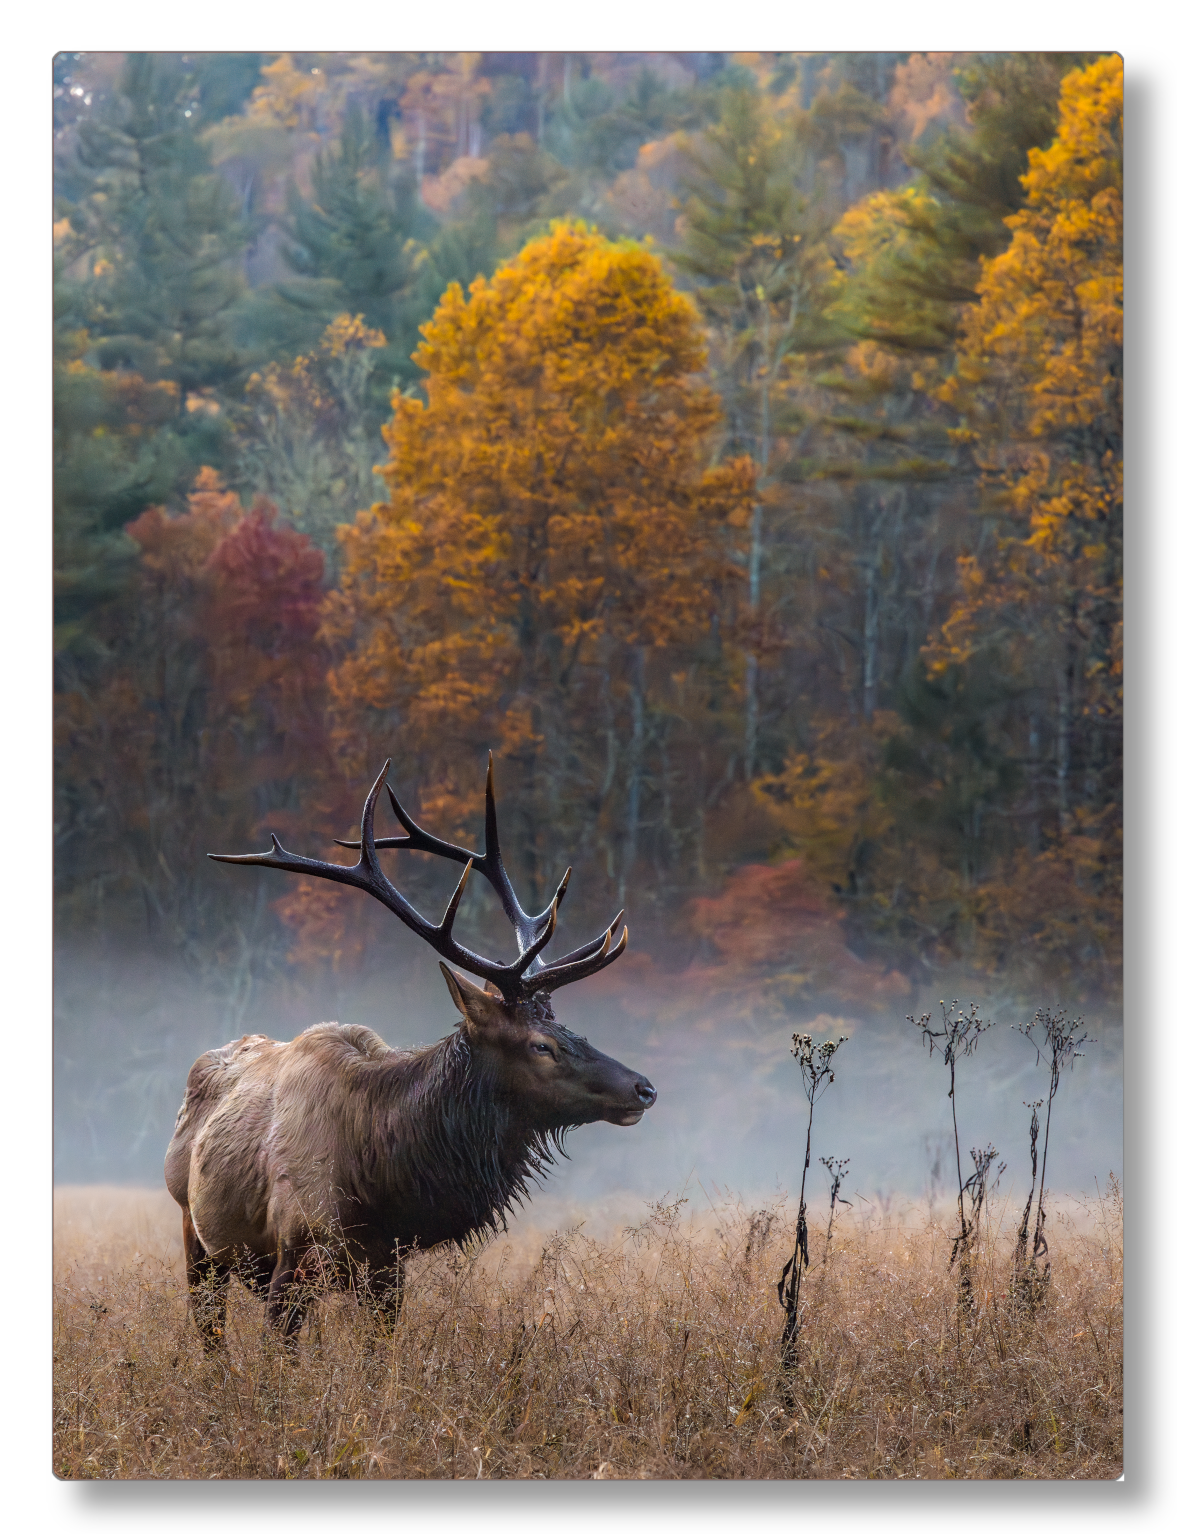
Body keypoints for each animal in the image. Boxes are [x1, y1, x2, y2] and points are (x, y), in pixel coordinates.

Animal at [165, 751, 656, 1343]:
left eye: (568, 1029)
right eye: (542, 1045)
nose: (644, 1088)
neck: (380, 1184)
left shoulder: (386, 1270)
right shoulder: (294, 1256)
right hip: (197, 1236)